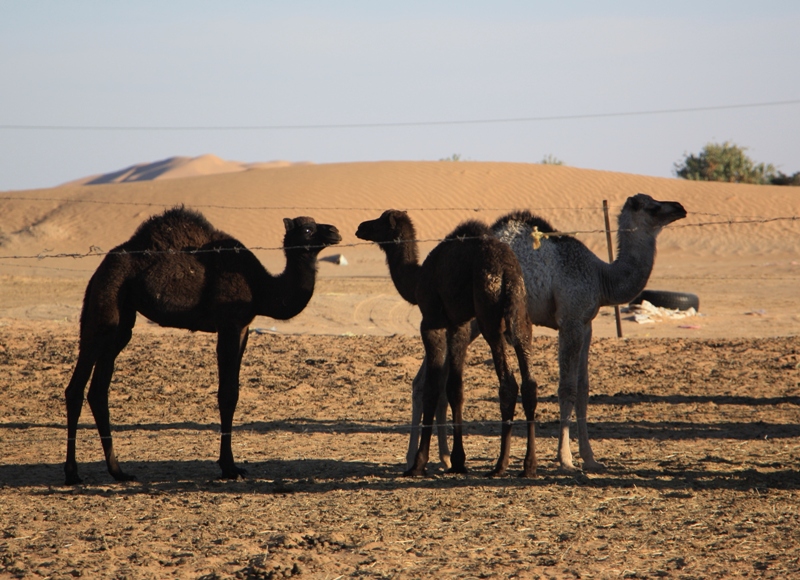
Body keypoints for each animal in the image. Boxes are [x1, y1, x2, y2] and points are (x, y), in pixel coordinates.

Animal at [62, 206, 338, 482]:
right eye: (307, 229)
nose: (335, 231)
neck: (261, 287)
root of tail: (100, 268)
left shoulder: (244, 328)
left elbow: (234, 390)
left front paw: (231, 465)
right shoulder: (228, 323)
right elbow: (228, 394)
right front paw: (229, 467)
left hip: (122, 319)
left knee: (98, 390)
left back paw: (119, 471)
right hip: (107, 299)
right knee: (77, 385)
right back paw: (72, 474)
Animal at [356, 211, 536, 478]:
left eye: (379, 222)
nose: (360, 227)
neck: (417, 279)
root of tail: (508, 272)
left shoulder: (431, 322)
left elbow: (431, 389)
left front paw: (418, 464)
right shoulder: (458, 325)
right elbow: (455, 389)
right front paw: (458, 461)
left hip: (490, 316)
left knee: (508, 383)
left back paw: (499, 466)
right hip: (521, 315)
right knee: (529, 383)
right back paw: (528, 466)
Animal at [406, 193, 688, 474]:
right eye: (653, 207)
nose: (680, 208)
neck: (601, 277)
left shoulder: (586, 323)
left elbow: (583, 389)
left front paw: (590, 459)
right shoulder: (570, 322)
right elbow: (567, 389)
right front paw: (566, 459)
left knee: (431, 381)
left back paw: (443, 459)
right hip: (470, 318)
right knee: (428, 379)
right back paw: (415, 459)